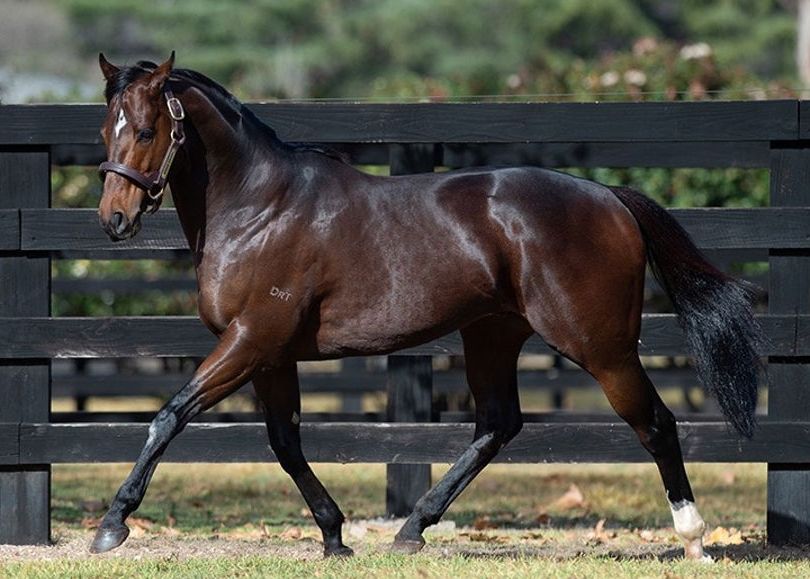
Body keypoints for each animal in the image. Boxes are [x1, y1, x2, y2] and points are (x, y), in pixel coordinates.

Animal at [92, 52, 761, 560]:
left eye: (147, 131)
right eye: (105, 130)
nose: (114, 220)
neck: (260, 206)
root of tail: (608, 198)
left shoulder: (251, 338)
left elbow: (169, 416)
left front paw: (112, 526)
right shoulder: (271, 354)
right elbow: (284, 442)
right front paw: (334, 536)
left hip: (602, 347)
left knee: (656, 423)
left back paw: (694, 540)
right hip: (492, 335)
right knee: (497, 425)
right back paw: (412, 528)